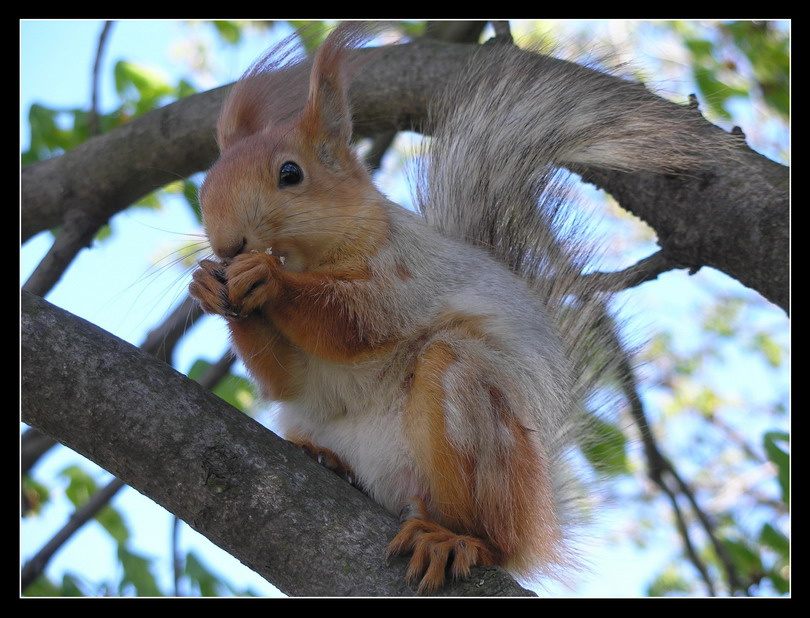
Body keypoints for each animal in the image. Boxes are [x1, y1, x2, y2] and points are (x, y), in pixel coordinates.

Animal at [188, 22, 711, 593]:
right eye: (206, 182)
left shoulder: (404, 277)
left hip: (470, 406)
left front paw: (269, 279)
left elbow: (352, 322)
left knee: (490, 530)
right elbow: (285, 381)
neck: (313, 256)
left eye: (290, 173)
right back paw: (325, 458)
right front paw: (207, 286)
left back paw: (455, 539)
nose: (229, 244)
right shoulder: (299, 370)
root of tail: (537, 523)